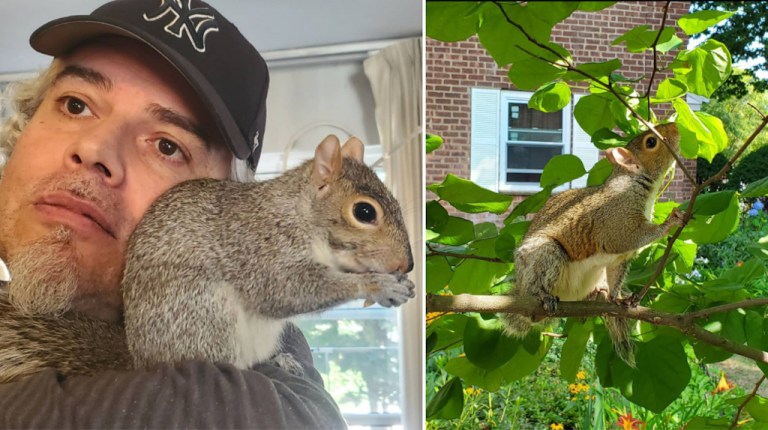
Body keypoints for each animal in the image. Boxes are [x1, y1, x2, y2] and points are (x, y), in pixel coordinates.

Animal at [500, 122, 688, 366]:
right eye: (651, 142)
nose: (676, 126)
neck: (633, 182)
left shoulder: (620, 259)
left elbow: (617, 275)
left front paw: (617, 299)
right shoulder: (617, 222)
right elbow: (630, 236)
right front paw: (669, 223)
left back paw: (598, 293)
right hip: (544, 255)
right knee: (537, 281)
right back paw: (541, 297)